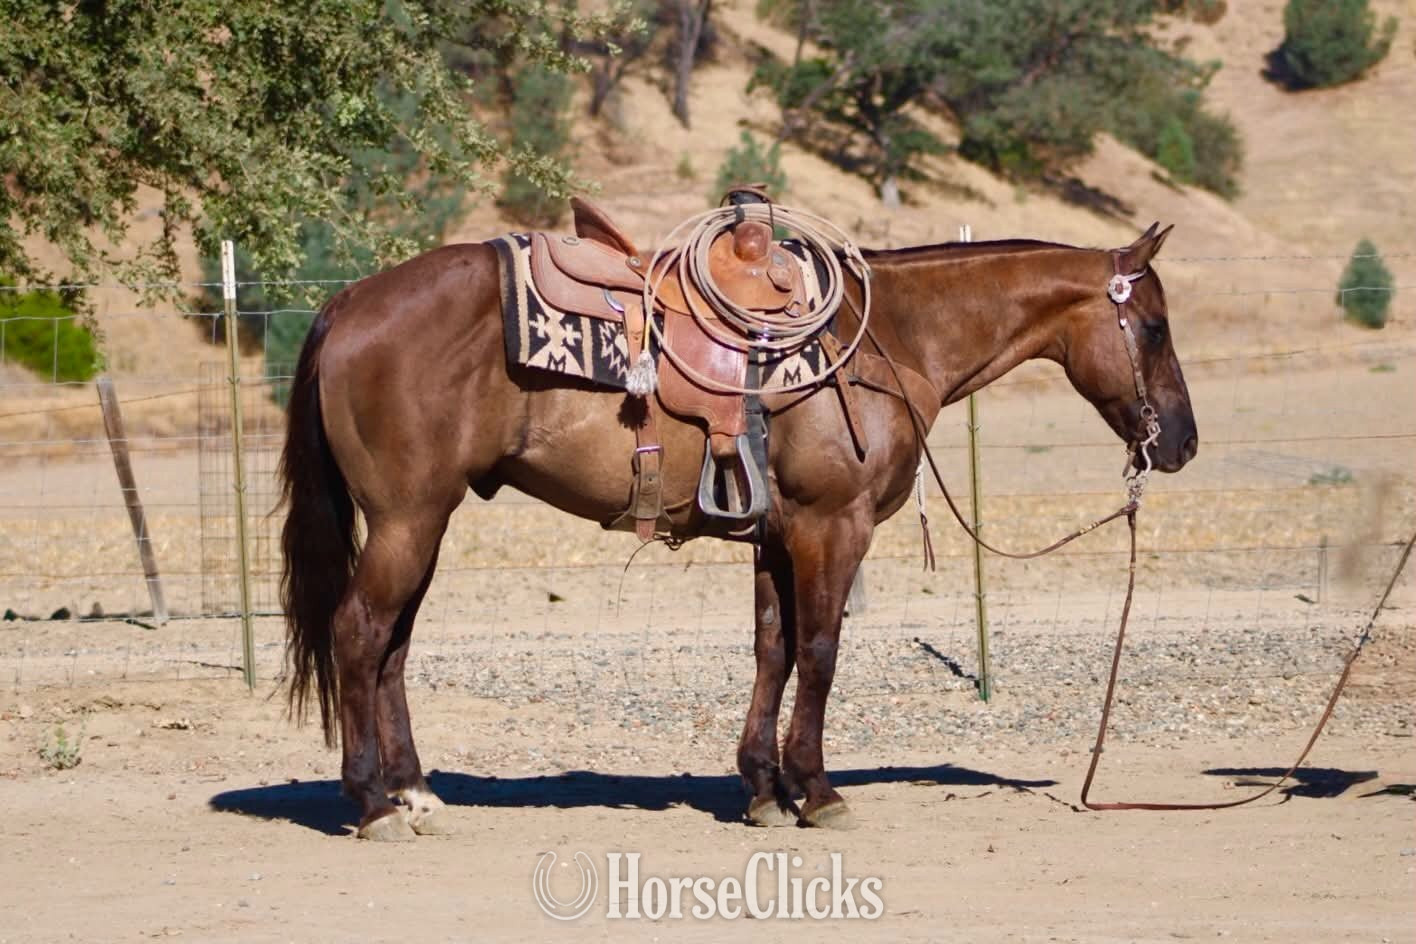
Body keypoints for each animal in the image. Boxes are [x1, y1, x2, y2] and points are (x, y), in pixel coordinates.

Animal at [278, 219, 1197, 840]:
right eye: (1154, 328)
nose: (1183, 442)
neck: (886, 339)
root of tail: (350, 300)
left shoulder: (776, 535)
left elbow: (773, 650)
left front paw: (763, 789)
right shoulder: (833, 526)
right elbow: (820, 652)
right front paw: (818, 791)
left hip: (424, 522)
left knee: (392, 646)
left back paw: (415, 791)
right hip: (407, 520)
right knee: (359, 633)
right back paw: (372, 802)